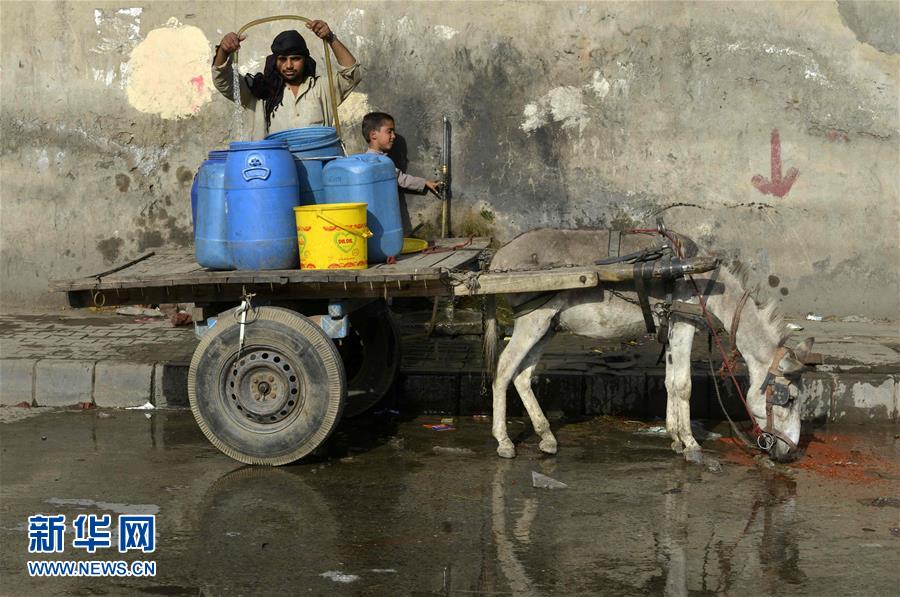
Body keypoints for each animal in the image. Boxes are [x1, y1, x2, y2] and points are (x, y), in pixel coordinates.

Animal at [482, 228, 814, 463]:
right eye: (790, 399)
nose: (790, 455)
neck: (705, 282)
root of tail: (500, 257)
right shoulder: (683, 325)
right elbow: (683, 385)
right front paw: (691, 445)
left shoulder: (671, 328)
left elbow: (670, 382)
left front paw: (676, 438)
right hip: (533, 320)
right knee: (503, 371)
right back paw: (504, 441)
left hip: (547, 324)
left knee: (522, 376)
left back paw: (547, 437)